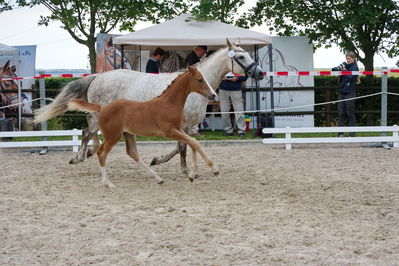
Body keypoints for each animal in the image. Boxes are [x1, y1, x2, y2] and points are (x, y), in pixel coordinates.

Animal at [68, 66, 219, 187]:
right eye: (200, 79)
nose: (213, 95)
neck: (169, 103)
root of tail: (103, 107)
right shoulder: (169, 131)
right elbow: (193, 143)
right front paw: (213, 170)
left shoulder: (180, 129)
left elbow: (192, 143)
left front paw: (193, 174)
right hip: (113, 136)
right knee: (101, 152)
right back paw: (107, 183)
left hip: (127, 134)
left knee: (132, 153)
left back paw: (158, 179)